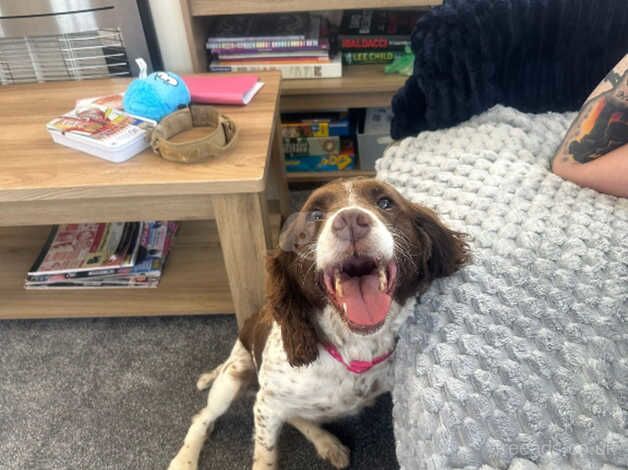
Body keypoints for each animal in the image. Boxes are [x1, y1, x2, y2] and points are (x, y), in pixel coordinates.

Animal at [167, 178, 466, 468]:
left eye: (385, 202)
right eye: (315, 215)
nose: (350, 221)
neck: (354, 349)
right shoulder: (266, 404)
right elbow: (265, 454)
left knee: (296, 417)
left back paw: (327, 443)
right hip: (232, 377)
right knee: (203, 418)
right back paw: (184, 460)